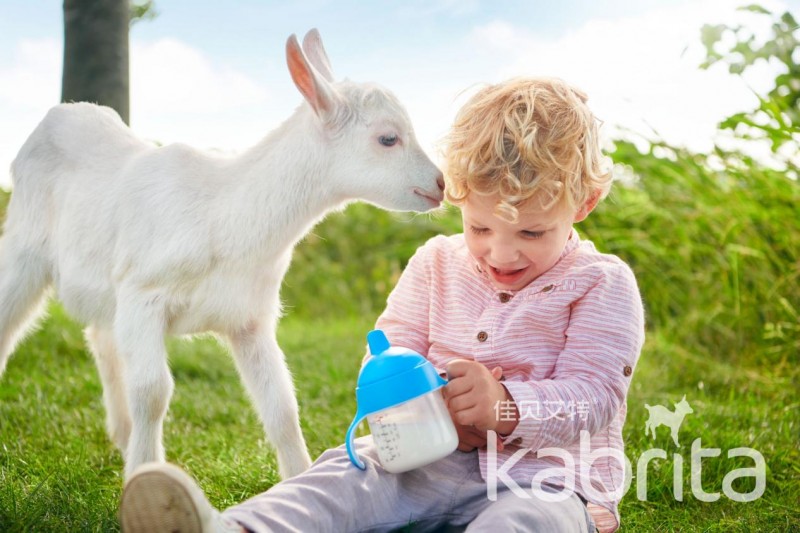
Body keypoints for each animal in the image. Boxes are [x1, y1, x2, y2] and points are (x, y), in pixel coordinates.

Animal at [0, 29, 444, 478]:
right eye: (388, 138)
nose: (440, 183)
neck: (225, 215)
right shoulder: (143, 295)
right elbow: (152, 393)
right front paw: (145, 474)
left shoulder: (248, 317)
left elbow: (282, 405)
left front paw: (298, 477)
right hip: (24, 248)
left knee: (102, 338)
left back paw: (122, 435)